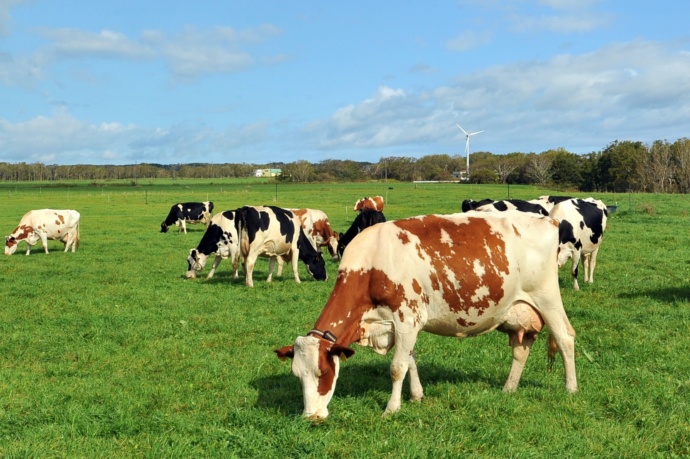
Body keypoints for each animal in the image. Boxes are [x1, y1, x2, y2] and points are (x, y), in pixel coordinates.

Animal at [274, 212, 576, 420]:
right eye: (297, 375)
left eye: (323, 372)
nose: (311, 417)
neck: (372, 263)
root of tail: (548, 220)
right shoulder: (402, 324)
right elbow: (411, 360)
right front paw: (417, 395)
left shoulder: (407, 318)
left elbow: (397, 367)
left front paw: (391, 408)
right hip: (519, 311)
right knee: (521, 350)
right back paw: (509, 389)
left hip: (547, 298)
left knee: (565, 338)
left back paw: (571, 389)